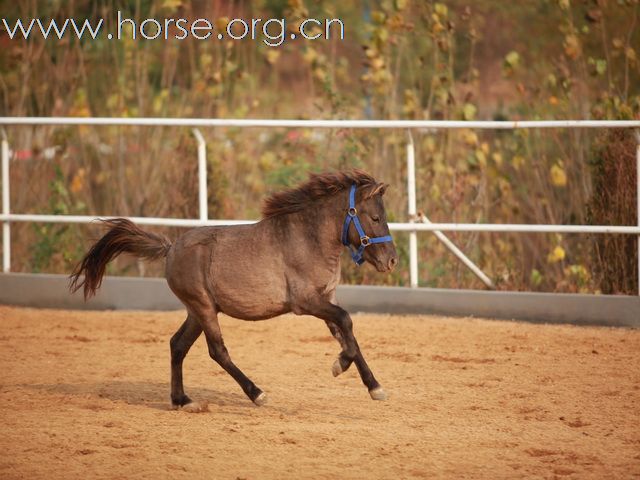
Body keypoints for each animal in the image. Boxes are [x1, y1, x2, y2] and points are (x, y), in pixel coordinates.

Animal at [71, 170, 400, 412]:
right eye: (375, 218)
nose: (392, 260)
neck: (308, 239)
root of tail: (170, 248)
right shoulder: (306, 302)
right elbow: (346, 322)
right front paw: (339, 366)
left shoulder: (326, 298)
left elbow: (347, 334)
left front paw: (374, 386)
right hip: (203, 307)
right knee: (217, 351)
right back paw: (257, 394)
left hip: (197, 311)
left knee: (178, 345)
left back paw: (183, 401)